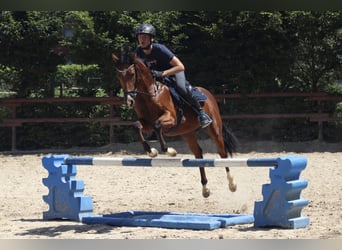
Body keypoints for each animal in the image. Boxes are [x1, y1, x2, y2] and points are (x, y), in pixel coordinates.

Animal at [111, 52, 238, 197]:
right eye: (118, 75)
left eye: (132, 74)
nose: (129, 101)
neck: (150, 93)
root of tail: (208, 93)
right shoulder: (146, 123)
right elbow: (137, 126)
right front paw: (151, 152)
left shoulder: (171, 118)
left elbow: (157, 126)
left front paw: (169, 151)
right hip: (187, 133)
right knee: (198, 153)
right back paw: (205, 188)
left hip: (214, 128)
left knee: (222, 152)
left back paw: (232, 184)